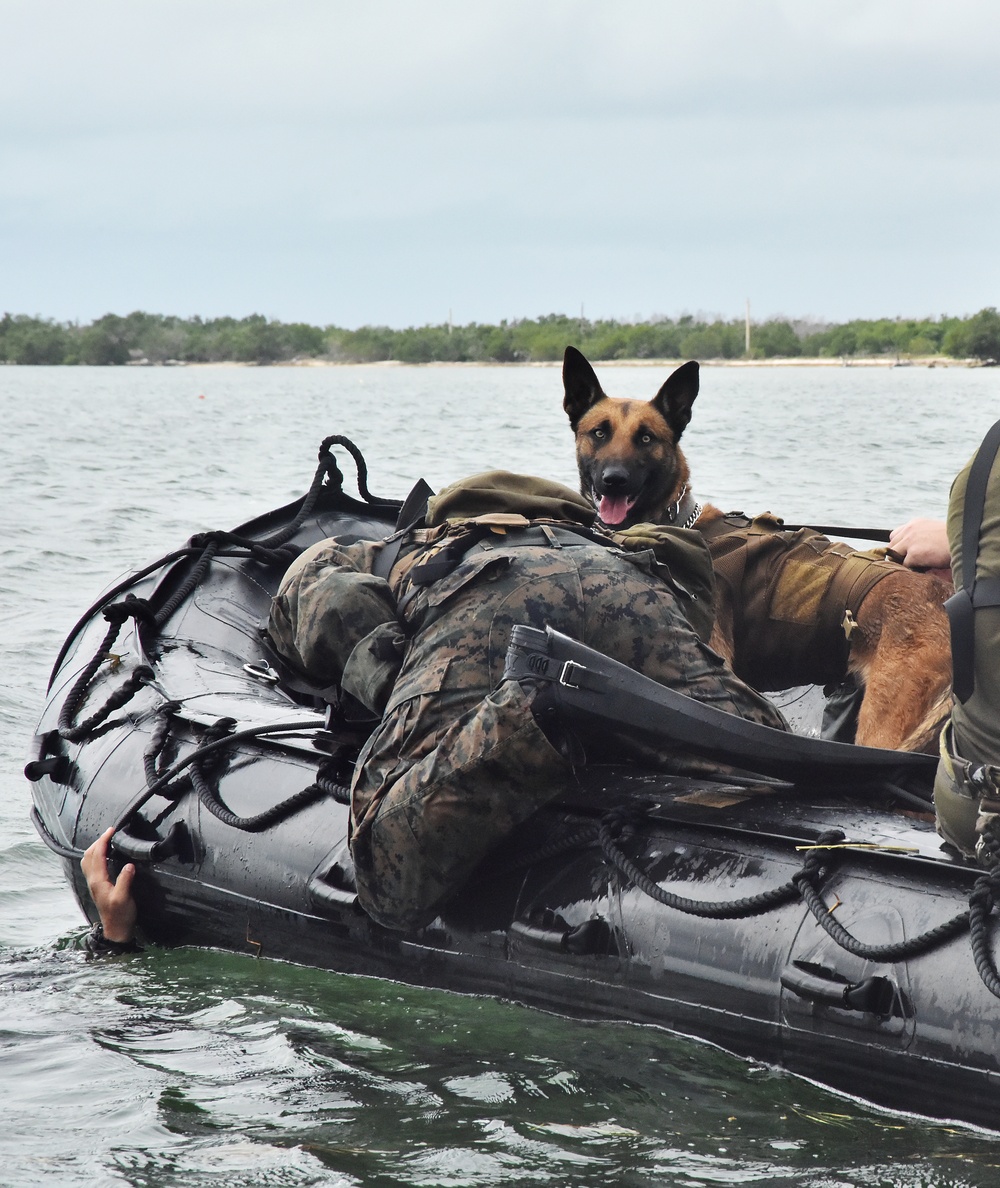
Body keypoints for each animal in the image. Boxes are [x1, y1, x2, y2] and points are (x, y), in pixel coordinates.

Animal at [560, 346, 950, 750]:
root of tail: (948, 601)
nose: (614, 480)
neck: (677, 521)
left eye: (647, 439)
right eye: (599, 433)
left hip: (883, 730)